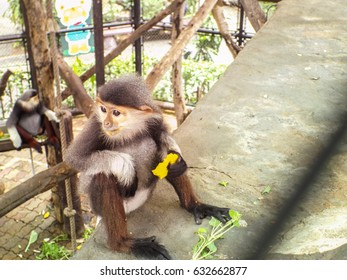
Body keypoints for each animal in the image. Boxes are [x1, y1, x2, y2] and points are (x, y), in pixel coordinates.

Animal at [66, 75, 231, 260]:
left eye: (115, 112)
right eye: (103, 109)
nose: (107, 123)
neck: (128, 130)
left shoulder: (154, 118)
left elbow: (162, 137)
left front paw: (178, 158)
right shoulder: (95, 125)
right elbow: (75, 158)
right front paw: (127, 169)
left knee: (159, 150)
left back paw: (194, 205)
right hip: (102, 206)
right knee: (104, 176)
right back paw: (123, 243)